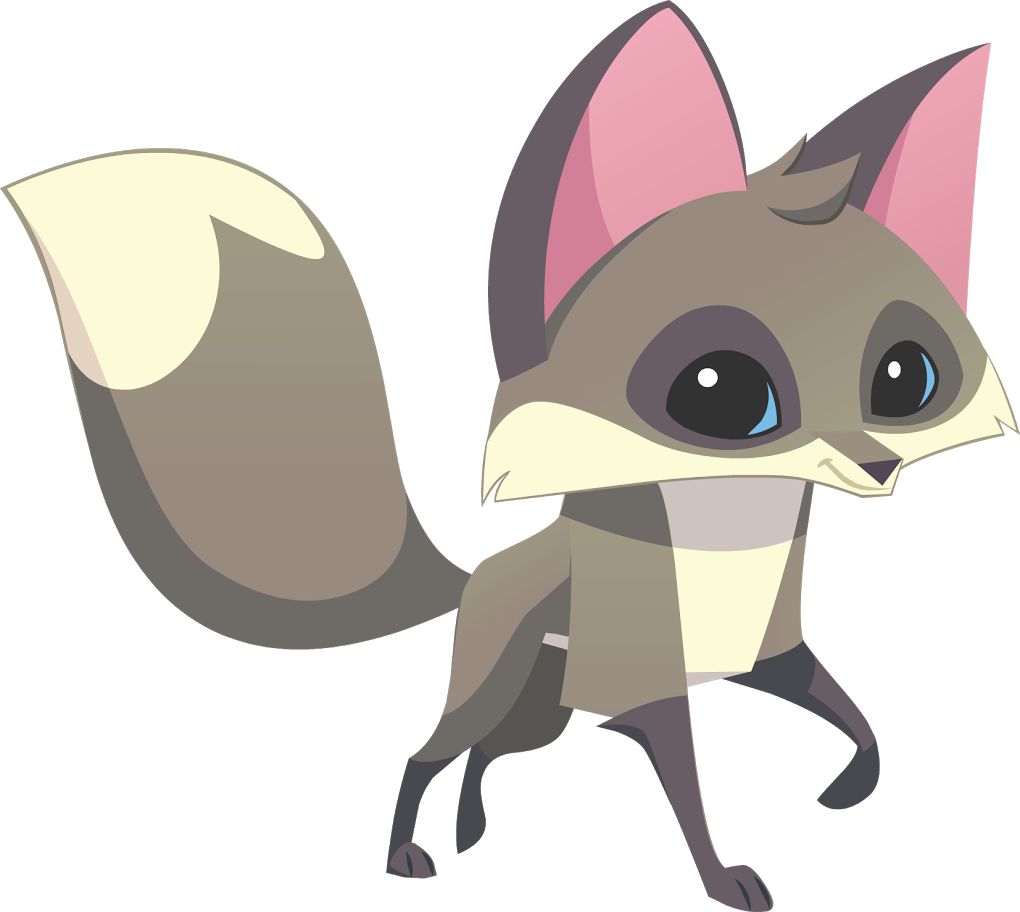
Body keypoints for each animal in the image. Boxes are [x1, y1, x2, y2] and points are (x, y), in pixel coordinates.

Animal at [4, 3, 1014, 908]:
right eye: (721, 391)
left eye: (906, 376)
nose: (874, 468)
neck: (728, 552)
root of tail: (482, 573)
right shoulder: (650, 694)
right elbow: (690, 796)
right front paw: (726, 882)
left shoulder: (775, 659)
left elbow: (860, 723)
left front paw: (845, 790)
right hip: (500, 693)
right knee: (427, 753)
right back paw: (410, 857)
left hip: (542, 712)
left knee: (485, 758)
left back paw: (472, 832)